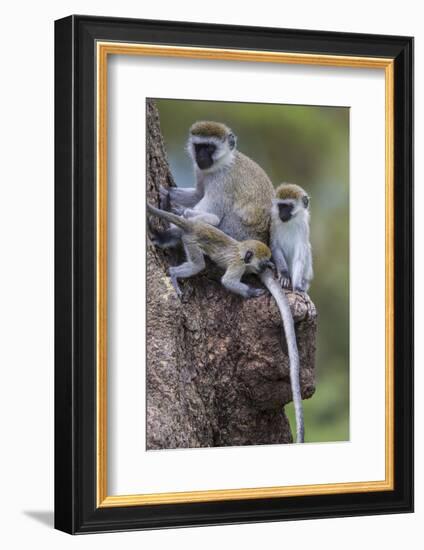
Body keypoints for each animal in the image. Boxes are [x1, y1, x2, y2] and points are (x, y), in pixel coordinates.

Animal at [156, 121, 304, 444]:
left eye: (210, 147)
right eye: (199, 146)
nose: (201, 157)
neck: (221, 164)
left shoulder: (221, 182)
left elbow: (208, 211)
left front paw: (177, 213)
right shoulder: (203, 174)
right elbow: (195, 193)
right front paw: (165, 192)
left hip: (235, 236)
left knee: (214, 223)